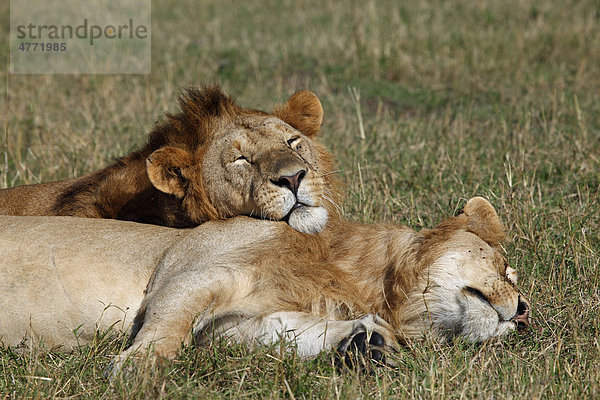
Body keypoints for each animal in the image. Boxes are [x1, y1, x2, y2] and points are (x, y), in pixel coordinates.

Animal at [0, 197, 528, 368]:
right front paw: (138, 369)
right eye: (505, 267)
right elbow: (168, 327)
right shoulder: (191, 273)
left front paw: (367, 343)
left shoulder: (228, 329)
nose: (524, 313)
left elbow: (285, 332)